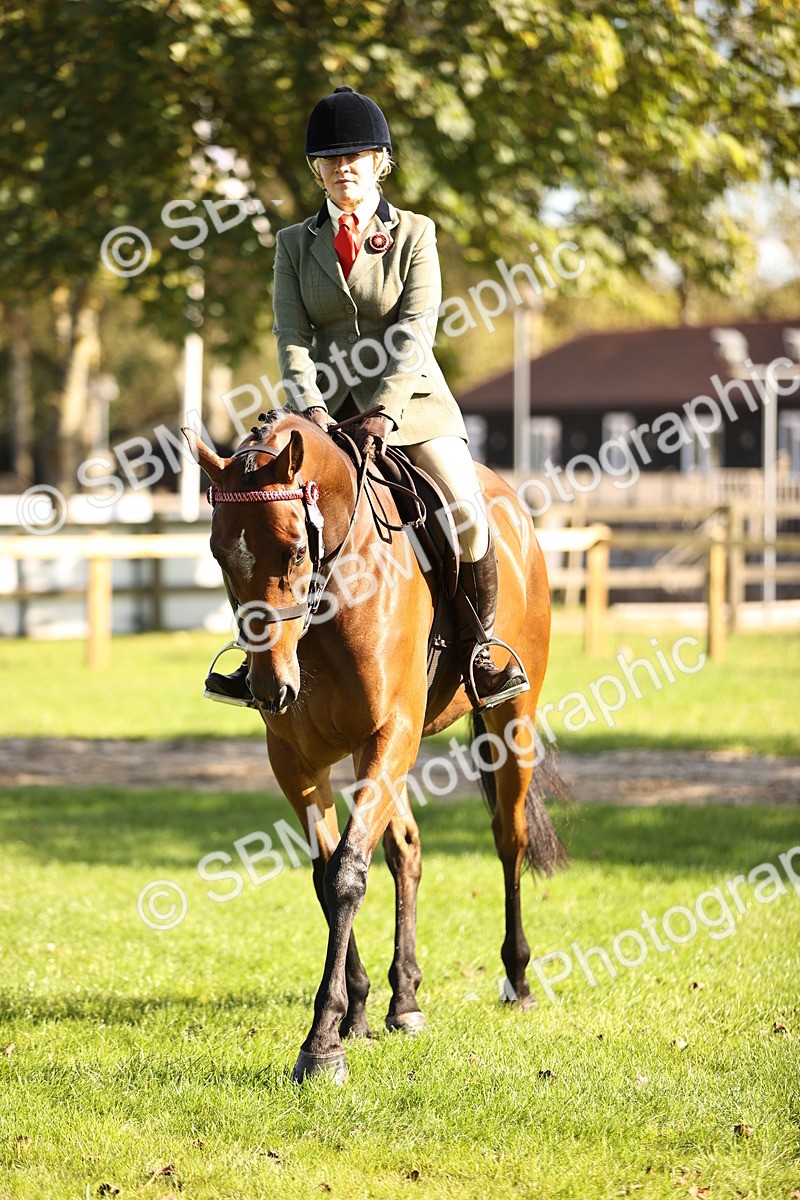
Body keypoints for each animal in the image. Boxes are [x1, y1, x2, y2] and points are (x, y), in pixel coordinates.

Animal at [186, 411, 567, 1083]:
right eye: (217, 553)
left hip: (507, 723)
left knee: (509, 837)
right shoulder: (297, 758)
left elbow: (347, 874)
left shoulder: (390, 732)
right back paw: (404, 1000)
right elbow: (327, 872)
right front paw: (354, 1013)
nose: (271, 687)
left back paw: (518, 978)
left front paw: (322, 1043)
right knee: (406, 849)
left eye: (294, 549)